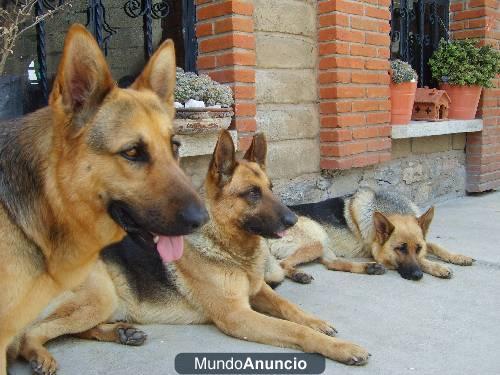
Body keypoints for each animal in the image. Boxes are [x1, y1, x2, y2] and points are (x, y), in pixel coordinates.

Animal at [18, 131, 372, 374]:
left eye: (271, 188)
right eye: (252, 193)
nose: (295, 219)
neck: (228, 248)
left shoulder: (258, 290)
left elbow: (290, 308)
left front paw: (317, 322)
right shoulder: (238, 316)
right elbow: (294, 329)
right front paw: (340, 347)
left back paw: (122, 332)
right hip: (99, 297)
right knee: (28, 334)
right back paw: (39, 355)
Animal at [266, 188, 472, 284]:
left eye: (418, 248)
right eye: (400, 249)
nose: (417, 276)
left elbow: (435, 246)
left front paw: (458, 257)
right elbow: (422, 260)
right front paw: (438, 267)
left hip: (323, 245)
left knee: (333, 264)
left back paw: (370, 268)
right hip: (317, 240)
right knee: (282, 264)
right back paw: (299, 274)